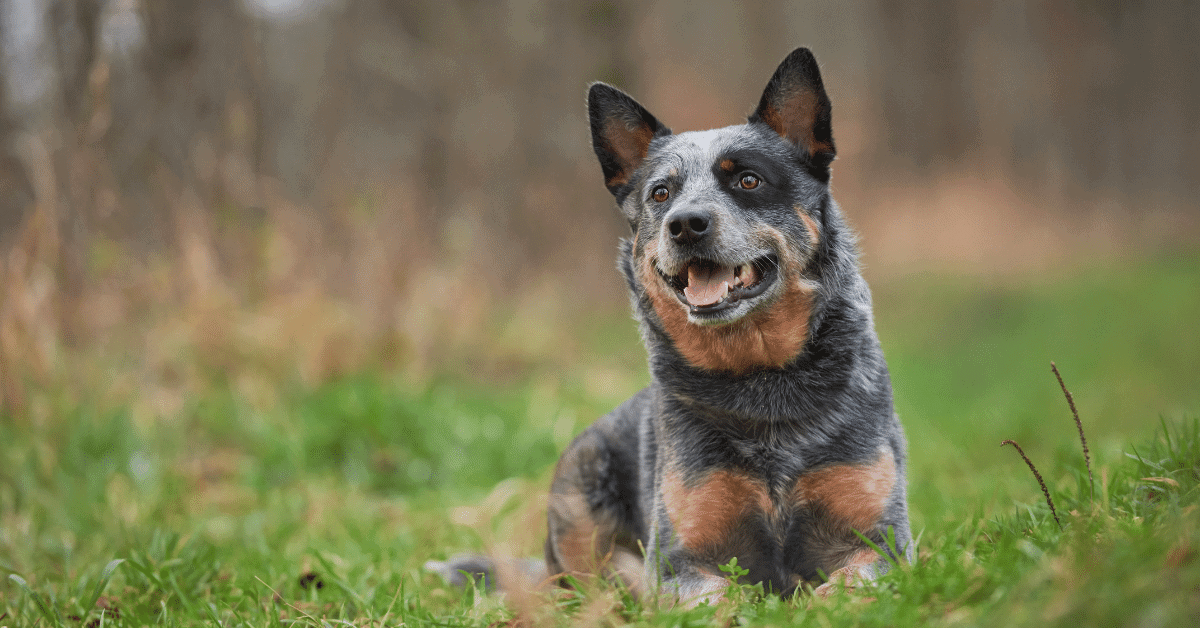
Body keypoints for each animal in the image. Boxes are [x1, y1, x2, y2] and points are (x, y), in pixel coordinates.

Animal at [429, 46, 907, 607]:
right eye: (660, 193)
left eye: (748, 179)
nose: (686, 223)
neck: (762, 380)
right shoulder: (683, 560)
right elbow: (718, 597)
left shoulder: (883, 542)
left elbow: (852, 582)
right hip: (580, 476)